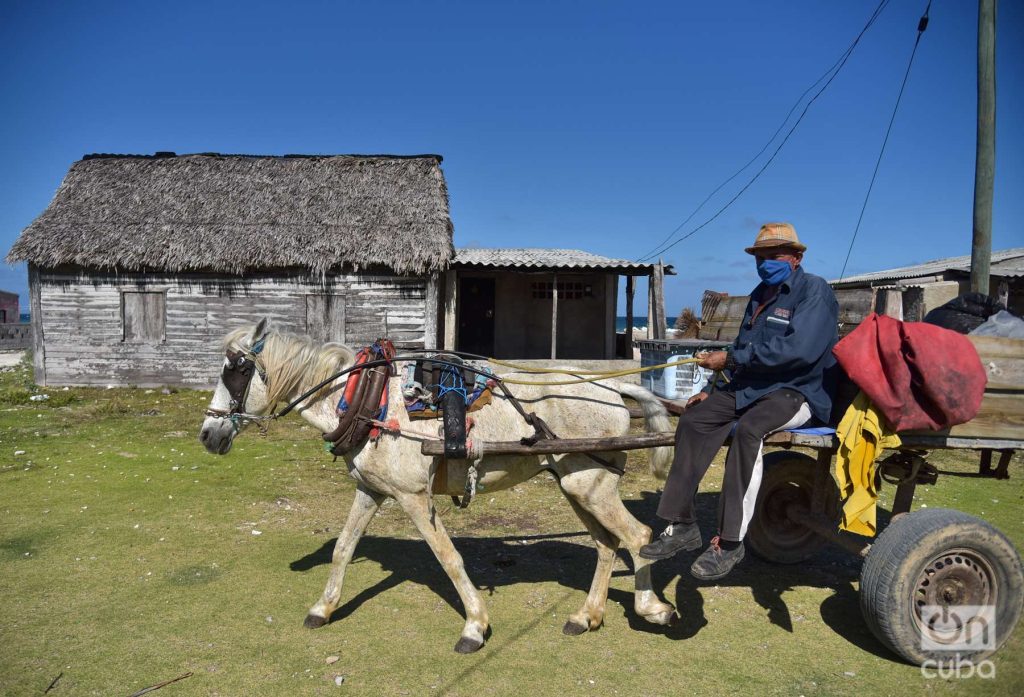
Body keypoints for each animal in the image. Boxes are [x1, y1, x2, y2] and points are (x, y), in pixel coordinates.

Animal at [199, 321, 679, 650]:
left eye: (235, 372)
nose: (207, 434)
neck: (366, 398)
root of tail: (612, 389)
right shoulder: (371, 491)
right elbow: (343, 548)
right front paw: (323, 607)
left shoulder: (413, 497)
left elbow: (448, 558)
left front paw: (475, 626)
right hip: (576, 484)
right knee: (606, 544)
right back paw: (587, 615)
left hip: (591, 485)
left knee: (638, 536)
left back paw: (652, 608)